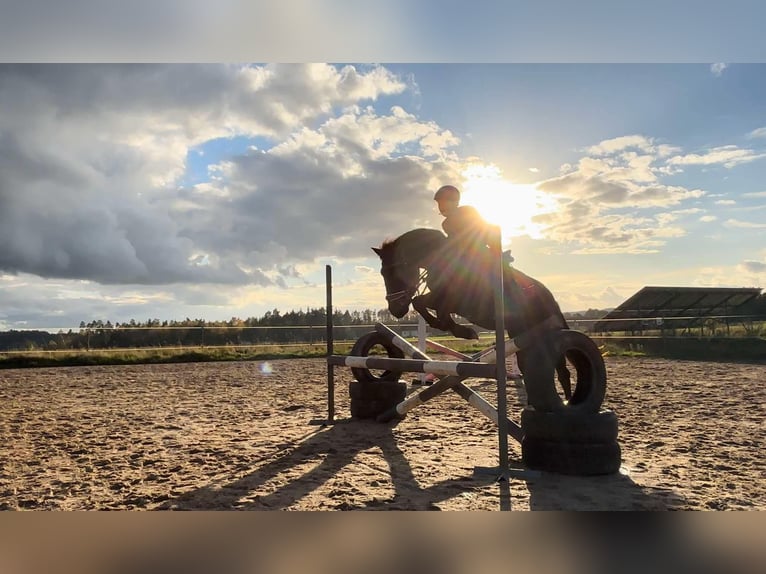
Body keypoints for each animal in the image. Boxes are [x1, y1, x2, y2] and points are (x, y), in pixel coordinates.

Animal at [376, 226, 572, 400]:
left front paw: (464, 331)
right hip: (521, 333)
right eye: (382, 273)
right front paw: (458, 329)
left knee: (562, 371)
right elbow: (420, 304)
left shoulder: (453, 299)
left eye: (393, 271)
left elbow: (428, 307)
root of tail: (551, 299)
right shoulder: (443, 300)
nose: (396, 310)